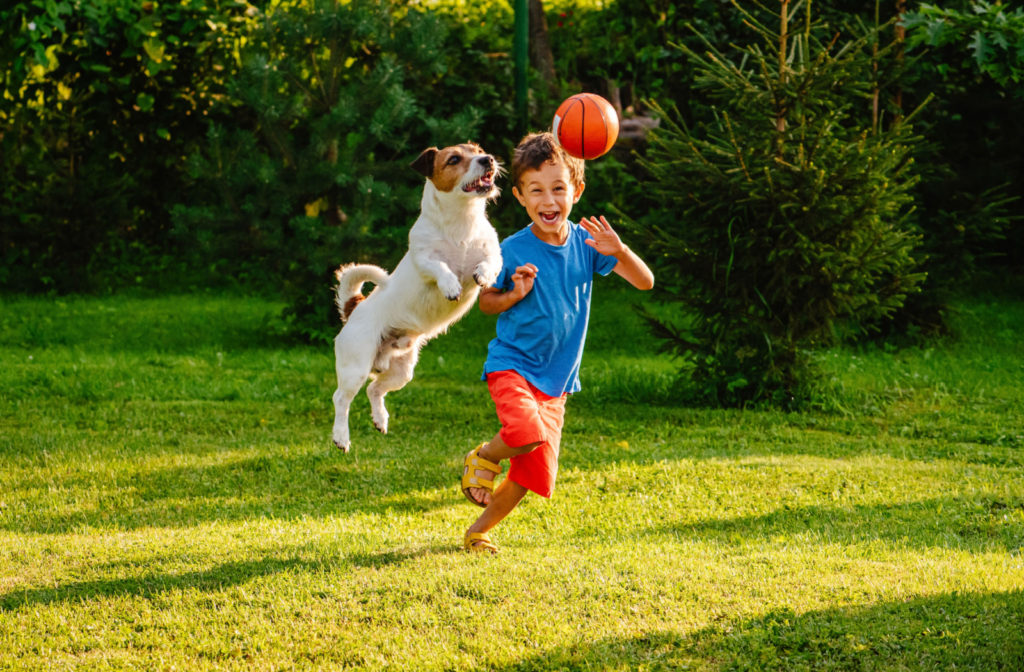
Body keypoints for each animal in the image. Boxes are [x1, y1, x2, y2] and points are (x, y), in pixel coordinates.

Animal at [329, 141, 501, 450]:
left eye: (478, 149)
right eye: (454, 159)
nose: (488, 159)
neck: (462, 222)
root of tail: (354, 308)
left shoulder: (493, 253)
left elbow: (489, 263)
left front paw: (482, 276)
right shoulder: (424, 260)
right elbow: (440, 267)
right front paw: (450, 285)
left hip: (402, 371)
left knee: (375, 389)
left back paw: (380, 419)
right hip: (355, 365)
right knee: (341, 399)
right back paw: (341, 436)